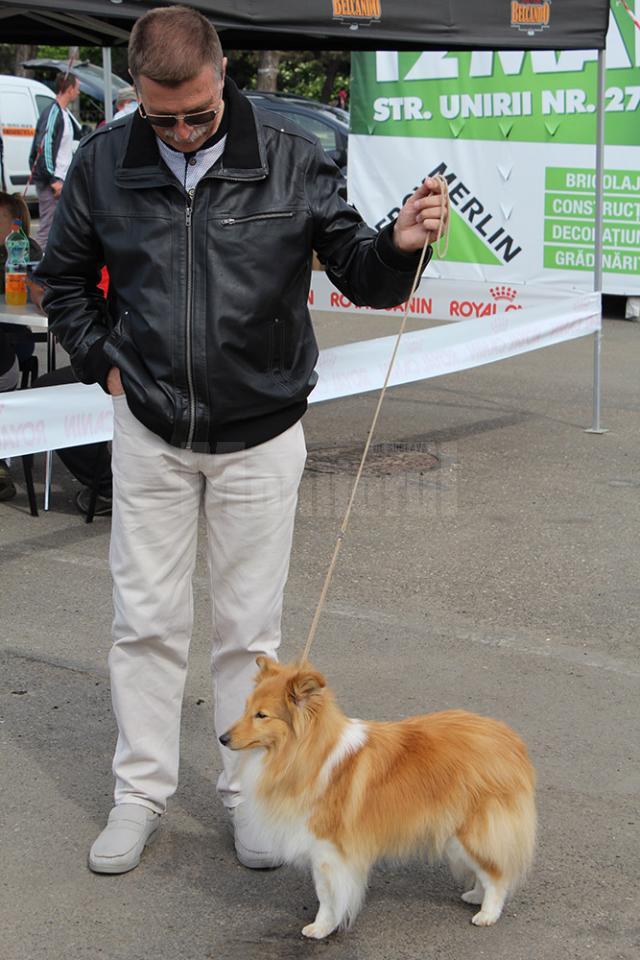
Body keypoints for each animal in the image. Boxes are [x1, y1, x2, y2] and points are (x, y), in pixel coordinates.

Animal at [220, 656, 536, 940]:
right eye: (245, 709)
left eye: (262, 715)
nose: (223, 738)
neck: (305, 754)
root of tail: (511, 741)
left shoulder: (328, 849)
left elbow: (327, 894)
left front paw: (322, 928)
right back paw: (475, 896)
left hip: (470, 830)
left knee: (496, 874)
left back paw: (487, 913)